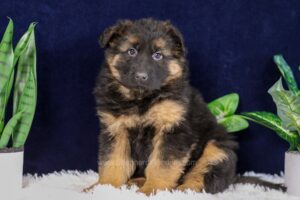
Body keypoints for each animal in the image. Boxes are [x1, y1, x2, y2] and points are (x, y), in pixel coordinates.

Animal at [86, 18, 284, 195]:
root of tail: (233, 178)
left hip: (217, 150)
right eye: (131, 51)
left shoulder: (174, 131)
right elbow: (113, 162)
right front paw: (104, 188)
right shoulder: (116, 129)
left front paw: (152, 189)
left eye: (158, 55)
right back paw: (134, 182)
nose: (141, 77)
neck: (142, 98)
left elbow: (162, 165)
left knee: (202, 179)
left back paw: (180, 189)